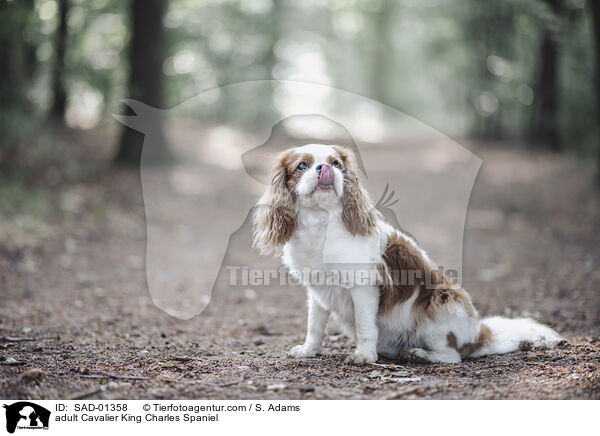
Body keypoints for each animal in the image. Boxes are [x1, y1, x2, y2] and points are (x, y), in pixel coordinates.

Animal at [251, 144, 560, 364]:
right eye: (301, 166)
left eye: (337, 163)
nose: (325, 167)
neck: (321, 223)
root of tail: (480, 333)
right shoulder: (317, 292)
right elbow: (314, 326)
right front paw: (308, 350)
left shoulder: (364, 287)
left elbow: (365, 324)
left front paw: (364, 356)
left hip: (442, 301)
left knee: (453, 356)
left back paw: (420, 354)